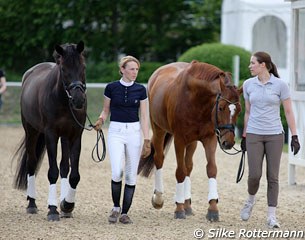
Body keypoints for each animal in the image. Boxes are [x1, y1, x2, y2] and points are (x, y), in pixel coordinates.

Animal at [13, 41, 86, 221]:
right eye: (63, 69)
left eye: (83, 67)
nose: (78, 100)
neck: (63, 100)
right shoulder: (51, 135)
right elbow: (52, 172)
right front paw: (52, 209)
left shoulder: (75, 136)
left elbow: (74, 174)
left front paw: (67, 204)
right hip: (31, 132)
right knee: (31, 163)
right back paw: (32, 204)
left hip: (64, 137)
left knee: (65, 167)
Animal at [137, 60, 241, 221]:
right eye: (221, 108)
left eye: (239, 110)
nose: (228, 142)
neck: (196, 100)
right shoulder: (179, 140)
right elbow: (180, 172)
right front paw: (178, 209)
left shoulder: (209, 139)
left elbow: (211, 169)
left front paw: (212, 208)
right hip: (159, 129)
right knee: (159, 159)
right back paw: (159, 199)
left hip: (192, 142)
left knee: (188, 166)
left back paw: (187, 205)